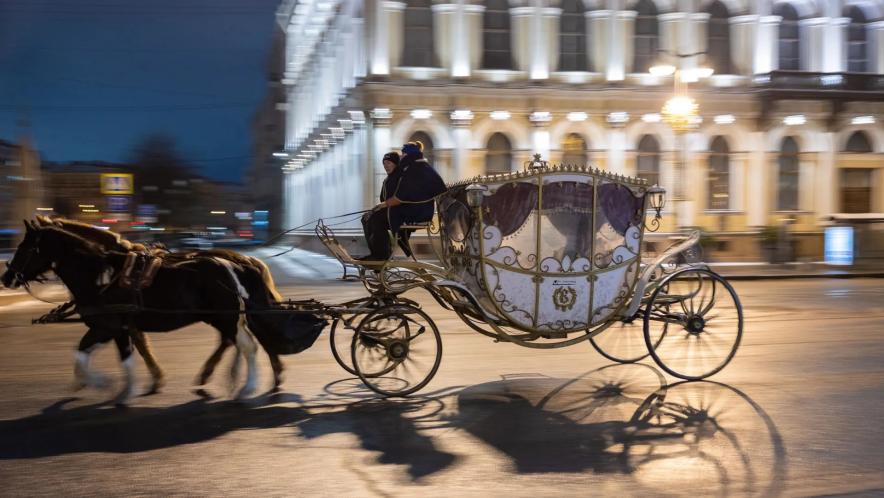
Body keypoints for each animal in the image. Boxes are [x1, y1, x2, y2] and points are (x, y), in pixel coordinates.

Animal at [1, 222, 278, 404]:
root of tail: (233, 263)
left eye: (25, 247)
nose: (6, 278)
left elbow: (86, 354)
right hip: (222, 318)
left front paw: (106, 385)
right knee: (238, 343)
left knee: (247, 346)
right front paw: (120, 388)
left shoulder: (109, 327)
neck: (101, 276)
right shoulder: (115, 329)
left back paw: (246, 388)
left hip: (226, 318)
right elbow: (111, 355)